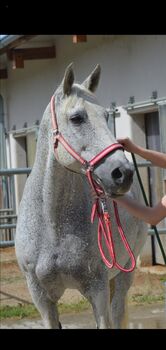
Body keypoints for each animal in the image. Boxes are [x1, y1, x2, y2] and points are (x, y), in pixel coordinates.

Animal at [15, 63, 147, 328]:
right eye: (77, 118)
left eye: (106, 116)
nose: (123, 173)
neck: (52, 225)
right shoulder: (41, 298)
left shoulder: (98, 291)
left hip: (125, 271)